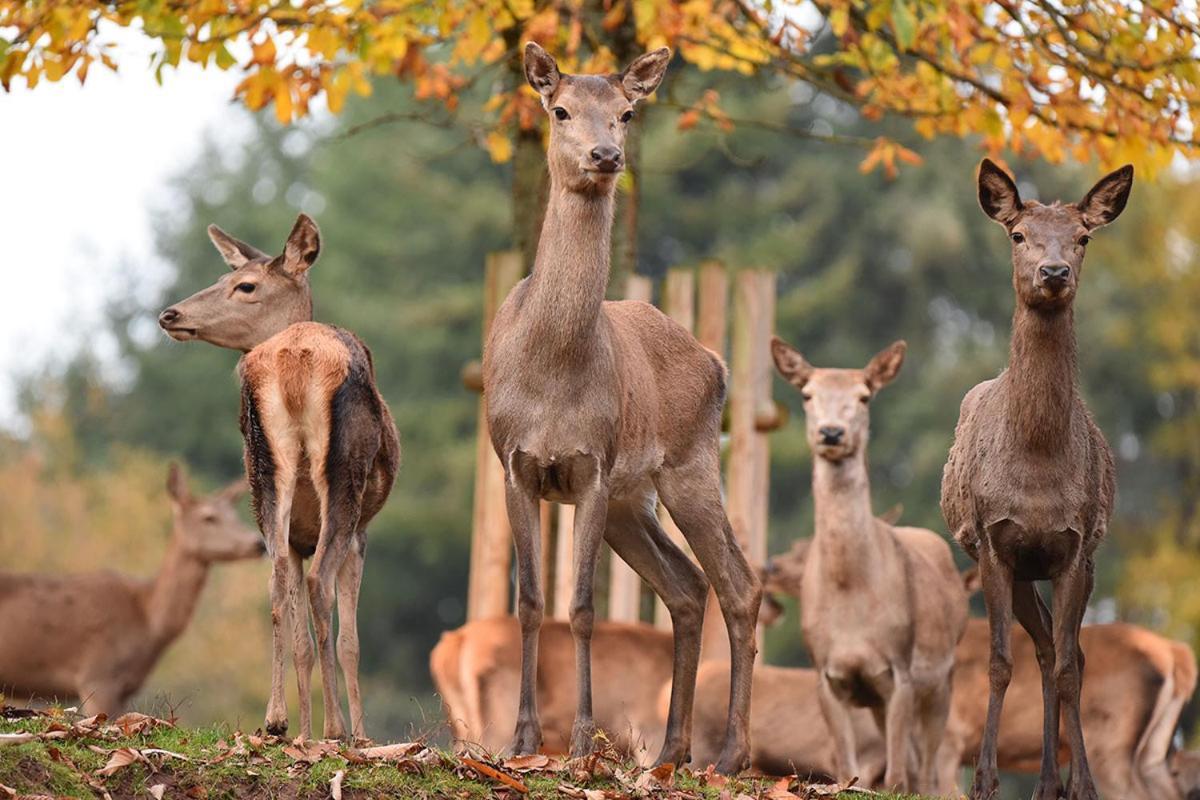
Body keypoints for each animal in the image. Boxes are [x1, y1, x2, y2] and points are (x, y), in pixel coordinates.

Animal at [0, 462, 262, 719]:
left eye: (234, 515)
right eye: (209, 517)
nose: (257, 543)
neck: (148, 622)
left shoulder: (124, 688)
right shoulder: (97, 675)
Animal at [152, 215, 398, 743]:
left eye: (243, 284)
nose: (170, 314)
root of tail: (295, 354)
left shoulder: (297, 535)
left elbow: (301, 637)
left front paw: (296, 725)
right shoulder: (362, 532)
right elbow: (350, 640)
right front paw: (357, 732)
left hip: (262, 470)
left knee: (275, 581)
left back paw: (278, 720)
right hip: (344, 477)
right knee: (319, 585)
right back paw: (334, 729)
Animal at [477, 43, 758, 777]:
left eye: (627, 112)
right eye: (560, 108)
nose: (605, 154)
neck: (552, 376)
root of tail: (716, 362)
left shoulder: (594, 467)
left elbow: (580, 607)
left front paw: (578, 742)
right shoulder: (514, 463)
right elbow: (529, 603)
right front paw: (520, 741)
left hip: (688, 464)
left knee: (739, 586)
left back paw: (730, 755)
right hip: (636, 501)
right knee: (686, 586)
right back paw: (672, 750)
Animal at [768, 338, 974, 796]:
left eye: (864, 396)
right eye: (807, 394)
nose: (831, 433)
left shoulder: (900, 667)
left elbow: (896, 779)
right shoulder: (827, 672)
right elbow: (848, 769)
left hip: (943, 675)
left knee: (929, 769)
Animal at [940, 158, 1128, 800]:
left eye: (1084, 237)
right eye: (1018, 235)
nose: (1054, 272)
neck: (1038, 468)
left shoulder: (1074, 547)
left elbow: (1072, 667)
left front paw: (1086, 785)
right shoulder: (995, 543)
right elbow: (1000, 662)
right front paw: (984, 780)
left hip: (1081, 563)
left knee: (1066, 654)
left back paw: (1058, 781)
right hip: (1017, 567)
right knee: (1043, 647)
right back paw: (1045, 781)